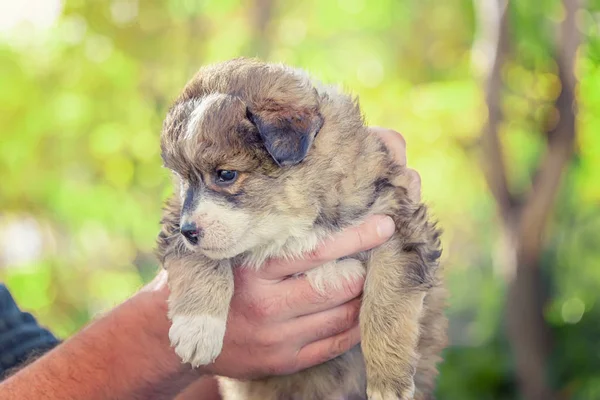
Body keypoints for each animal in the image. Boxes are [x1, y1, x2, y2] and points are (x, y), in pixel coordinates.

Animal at [155, 57, 446, 400]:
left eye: (226, 174)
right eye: (182, 179)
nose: (189, 232)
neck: (291, 224)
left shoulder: (396, 226)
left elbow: (385, 303)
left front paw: (388, 381)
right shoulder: (176, 215)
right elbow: (202, 260)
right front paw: (197, 328)